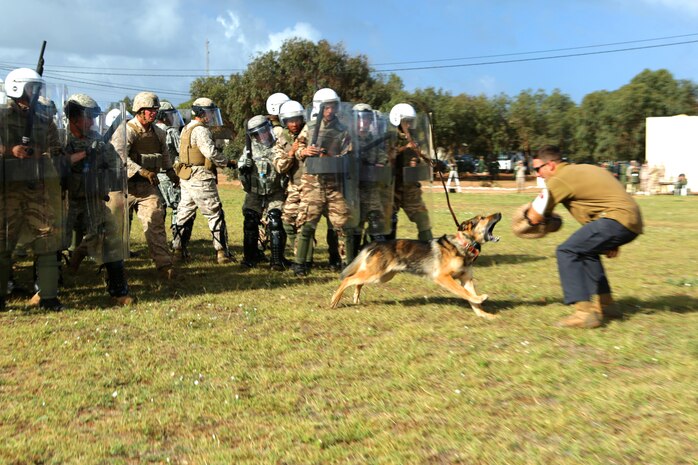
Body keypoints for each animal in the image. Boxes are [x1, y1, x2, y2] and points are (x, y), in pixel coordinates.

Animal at [328, 212, 498, 318]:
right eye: (482, 218)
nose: (499, 213)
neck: (463, 245)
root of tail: (377, 243)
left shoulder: (466, 279)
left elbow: (471, 298)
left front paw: (483, 314)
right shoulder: (443, 277)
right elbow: (463, 292)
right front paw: (481, 298)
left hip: (380, 276)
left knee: (358, 282)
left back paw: (355, 298)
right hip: (375, 274)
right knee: (348, 279)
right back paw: (334, 301)